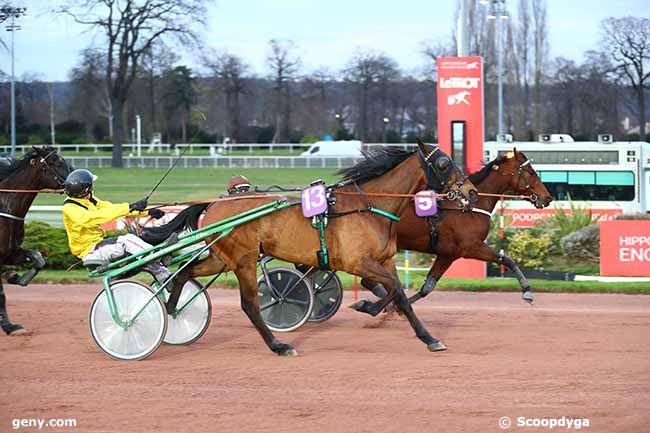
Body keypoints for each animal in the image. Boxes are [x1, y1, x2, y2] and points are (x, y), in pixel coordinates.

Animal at [159, 142, 476, 354]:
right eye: (444, 164)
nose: (471, 191)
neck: (370, 206)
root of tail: (213, 204)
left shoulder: (384, 260)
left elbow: (396, 292)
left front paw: (378, 311)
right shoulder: (357, 262)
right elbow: (395, 289)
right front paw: (423, 335)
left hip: (223, 258)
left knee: (184, 274)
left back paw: (171, 310)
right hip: (245, 260)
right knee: (250, 304)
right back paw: (279, 345)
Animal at [354, 148, 552, 314]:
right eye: (531, 171)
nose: (548, 197)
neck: (468, 206)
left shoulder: (448, 254)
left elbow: (428, 287)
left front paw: (396, 307)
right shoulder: (472, 247)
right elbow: (508, 260)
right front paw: (527, 291)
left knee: (368, 280)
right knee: (368, 278)